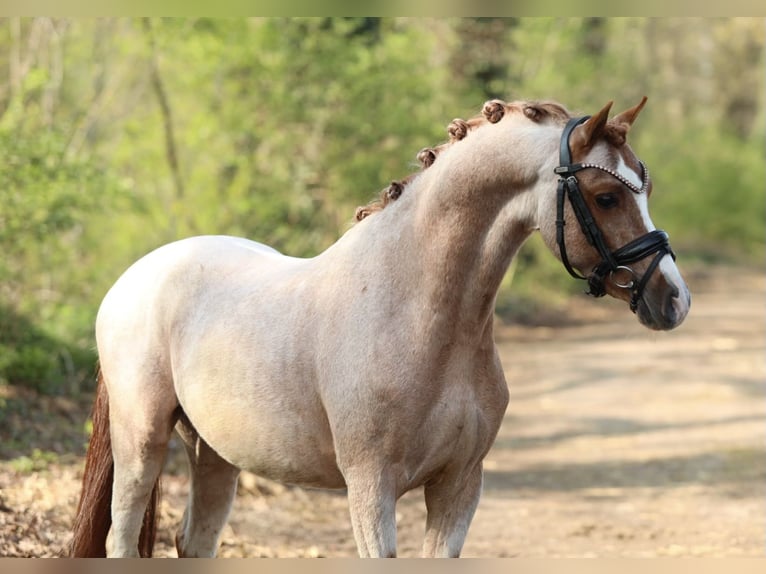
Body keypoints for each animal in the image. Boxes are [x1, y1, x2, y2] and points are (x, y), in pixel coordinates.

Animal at [68, 96, 690, 558]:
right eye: (605, 196)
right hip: (141, 441)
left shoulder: (459, 485)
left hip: (215, 454)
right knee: (121, 537)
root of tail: (132, 279)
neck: (418, 316)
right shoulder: (371, 488)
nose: (674, 300)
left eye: (646, 187)